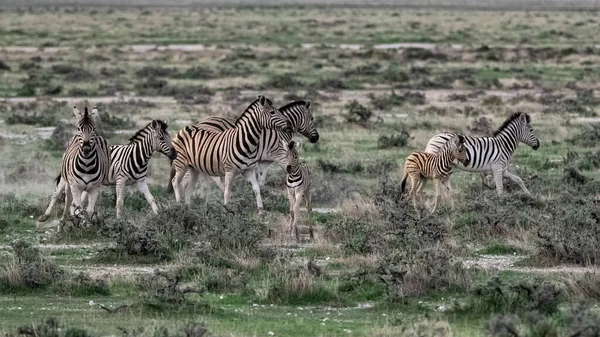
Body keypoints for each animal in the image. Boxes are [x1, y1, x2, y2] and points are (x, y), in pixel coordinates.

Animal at [39, 119, 176, 219]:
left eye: (169, 136)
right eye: (161, 138)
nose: (175, 154)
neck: (138, 157)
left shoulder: (140, 181)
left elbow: (151, 199)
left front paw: (159, 216)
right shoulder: (121, 180)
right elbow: (119, 202)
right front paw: (119, 220)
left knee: (79, 200)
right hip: (66, 177)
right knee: (56, 194)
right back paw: (45, 216)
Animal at [168, 99, 318, 189]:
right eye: (312, 118)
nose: (316, 138)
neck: (279, 132)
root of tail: (200, 123)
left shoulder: (263, 161)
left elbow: (260, 181)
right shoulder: (278, 155)